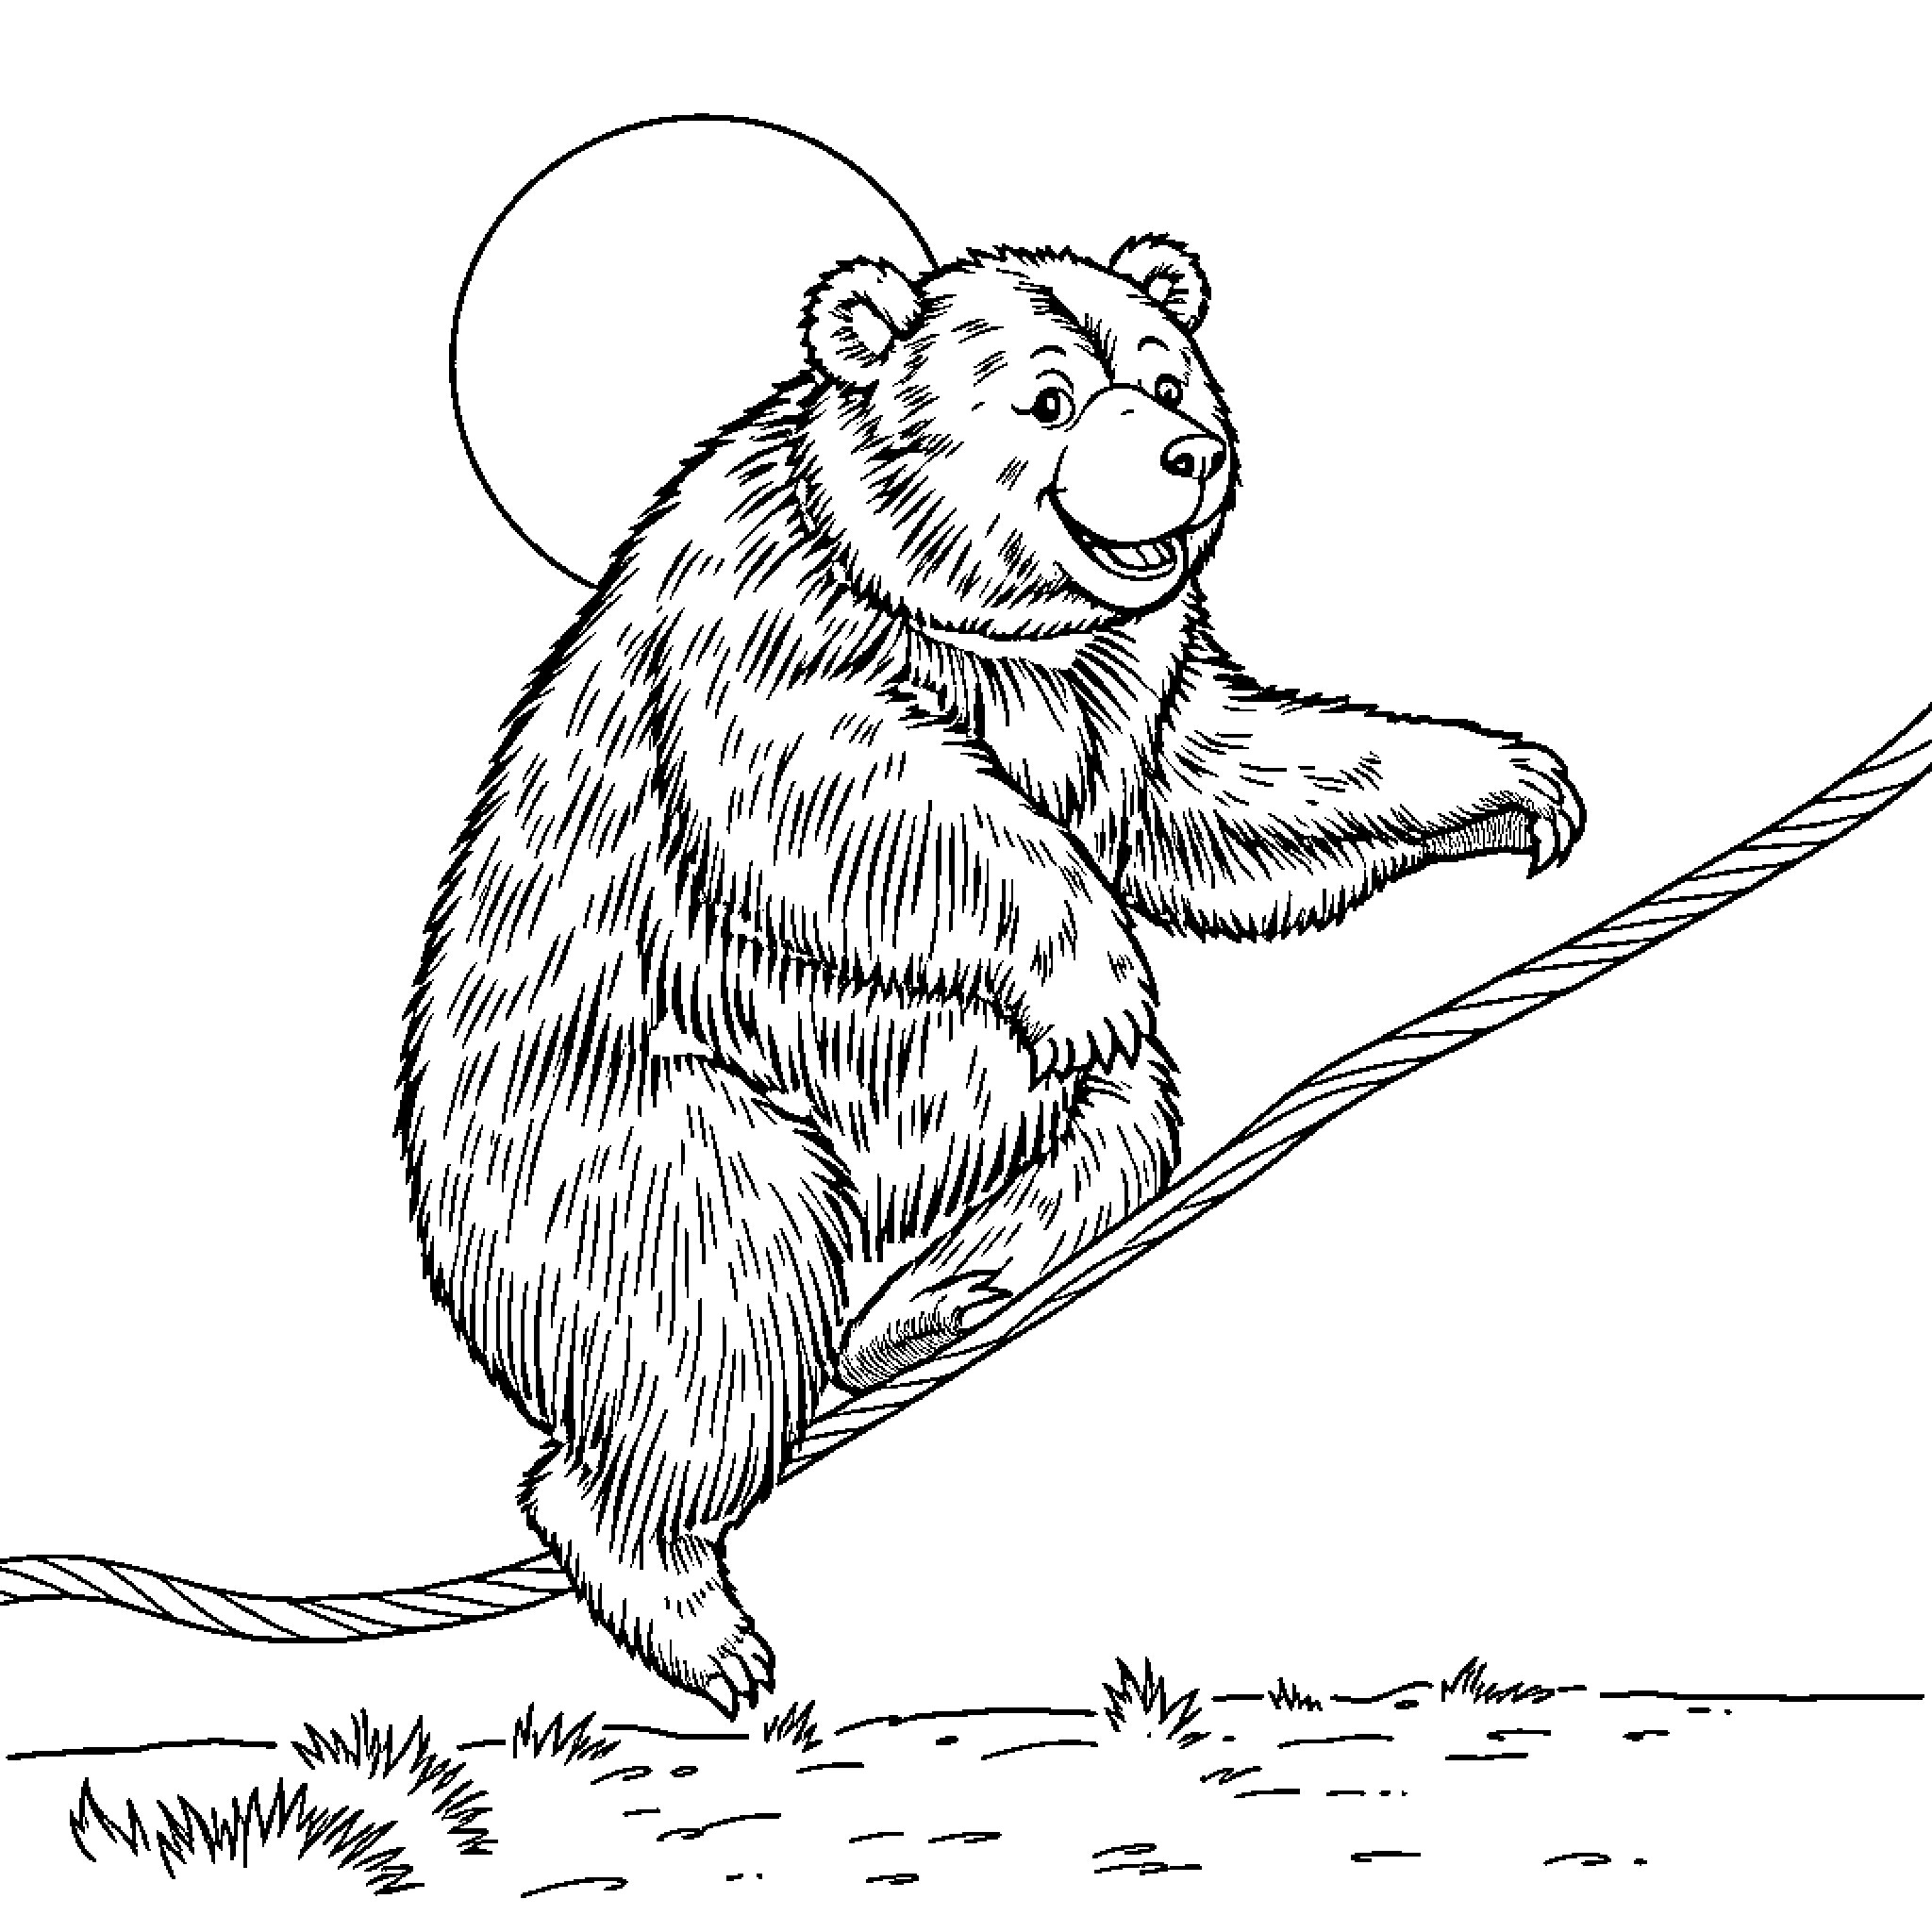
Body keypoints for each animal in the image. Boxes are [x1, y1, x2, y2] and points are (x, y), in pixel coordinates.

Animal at [398, 236, 1584, 1719]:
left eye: (1165, 370)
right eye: (1048, 396)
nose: (1190, 451)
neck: (994, 626)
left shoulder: (1127, 678)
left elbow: (1217, 786)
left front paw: (1514, 785)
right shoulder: (775, 625)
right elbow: (850, 794)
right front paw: (1097, 970)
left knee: (1110, 1140)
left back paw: (925, 1304)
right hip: (618, 1122)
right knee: (717, 1273)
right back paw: (691, 1605)